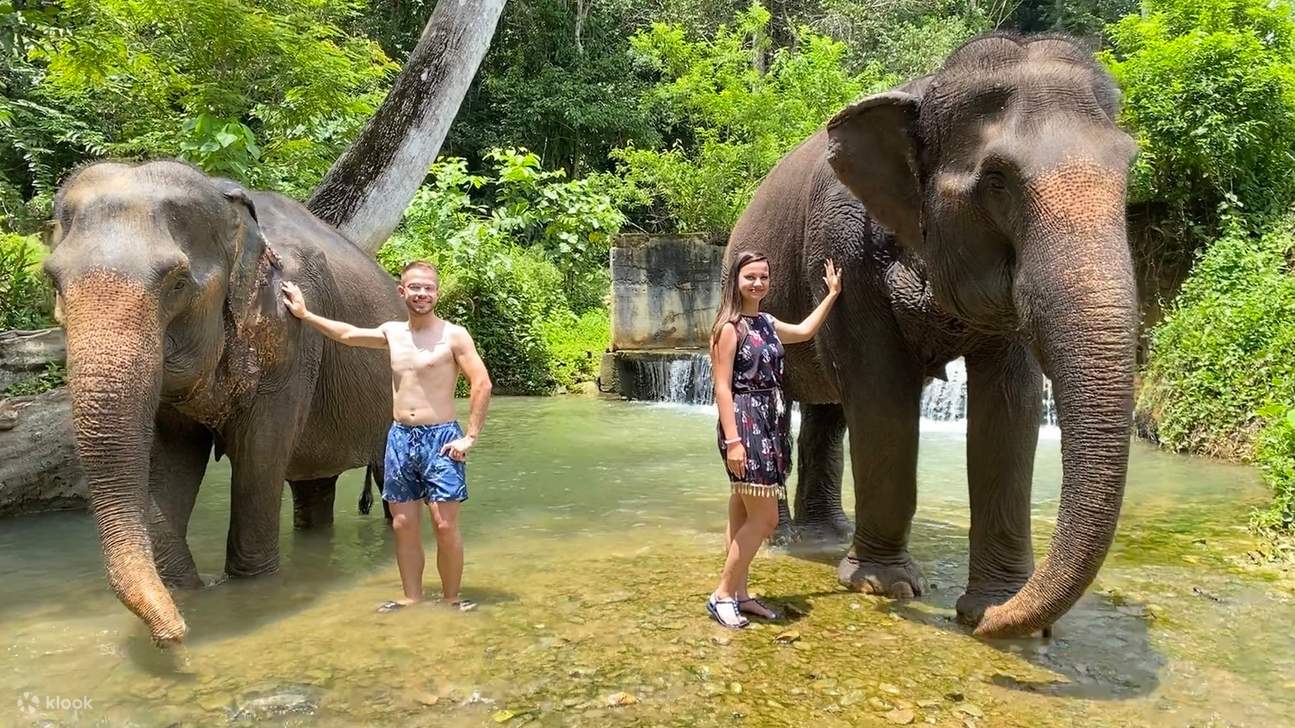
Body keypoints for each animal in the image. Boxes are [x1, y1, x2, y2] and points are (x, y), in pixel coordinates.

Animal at [43, 160, 405, 644]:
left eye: (177, 282)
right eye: (53, 280)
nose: (177, 634)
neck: (226, 200)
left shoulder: (289, 343)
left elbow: (260, 455)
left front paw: (249, 587)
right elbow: (171, 460)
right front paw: (184, 588)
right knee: (313, 485)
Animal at [727, 33, 1138, 638]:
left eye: (1130, 167)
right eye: (997, 181)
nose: (985, 623)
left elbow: (1010, 407)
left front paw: (994, 602)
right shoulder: (844, 247)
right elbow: (882, 396)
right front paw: (884, 585)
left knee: (828, 412)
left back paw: (826, 536)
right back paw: (783, 536)